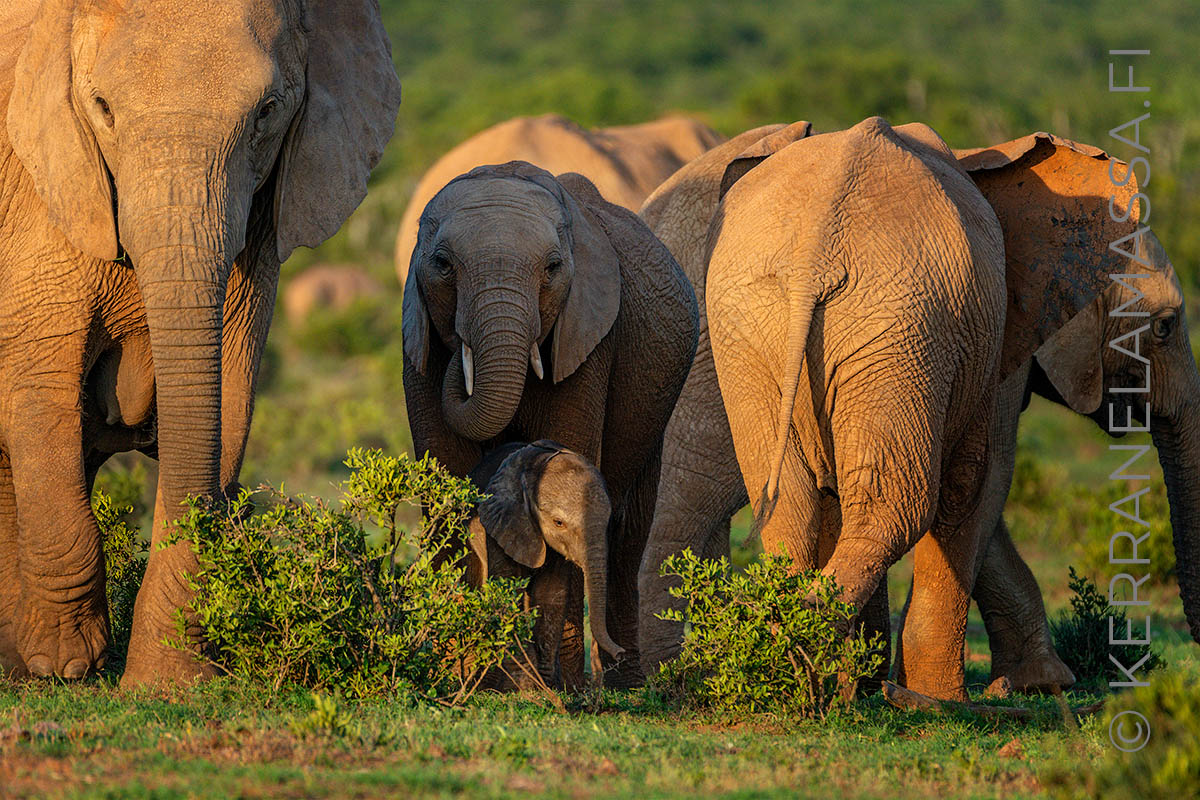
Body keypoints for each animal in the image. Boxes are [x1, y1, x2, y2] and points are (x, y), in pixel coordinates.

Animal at [0, 0, 401, 684]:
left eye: (267, 110)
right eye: (102, 107)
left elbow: (229, 405)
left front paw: (167, 683)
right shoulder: (46, 192)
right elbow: (38, 398)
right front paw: (65, 664)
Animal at [462, 440, 618, 689]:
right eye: (558, 523)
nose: (619, 654)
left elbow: (550, 594)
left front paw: (546, 684)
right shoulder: (501, 522)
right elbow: (508, 590)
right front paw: (523, 686)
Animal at [637, 123, 1172, 699]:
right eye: (1164, 326)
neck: (984, 155)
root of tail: (813, 255)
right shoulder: (993, 340)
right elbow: (975, 486)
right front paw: (956, 697)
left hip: (757, 326)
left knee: (793, 502)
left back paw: (789, 666)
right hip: (895, 326)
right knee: (898, 504)